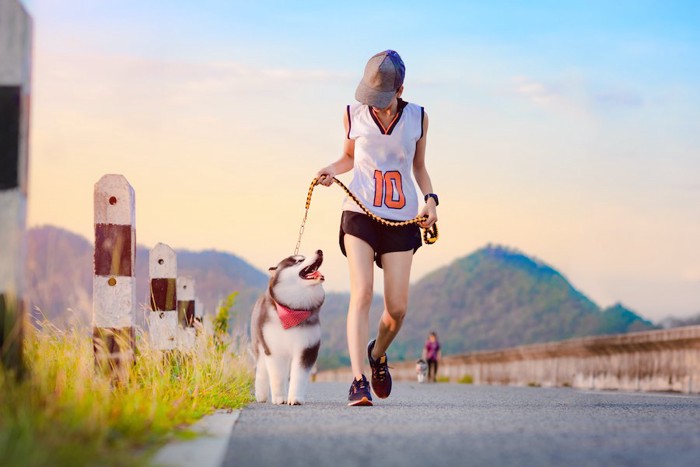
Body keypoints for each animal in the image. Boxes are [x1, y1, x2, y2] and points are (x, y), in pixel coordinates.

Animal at [252, 249, 326, 406]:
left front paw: (295, 398)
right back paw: (261, 395)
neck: (293, 309)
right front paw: (280, 398)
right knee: (261, 370)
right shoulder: (273, 349)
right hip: (260, 345)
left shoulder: (307, 348)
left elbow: (298, 376)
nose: (319, 251)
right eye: (299, 260)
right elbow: (277, 377)